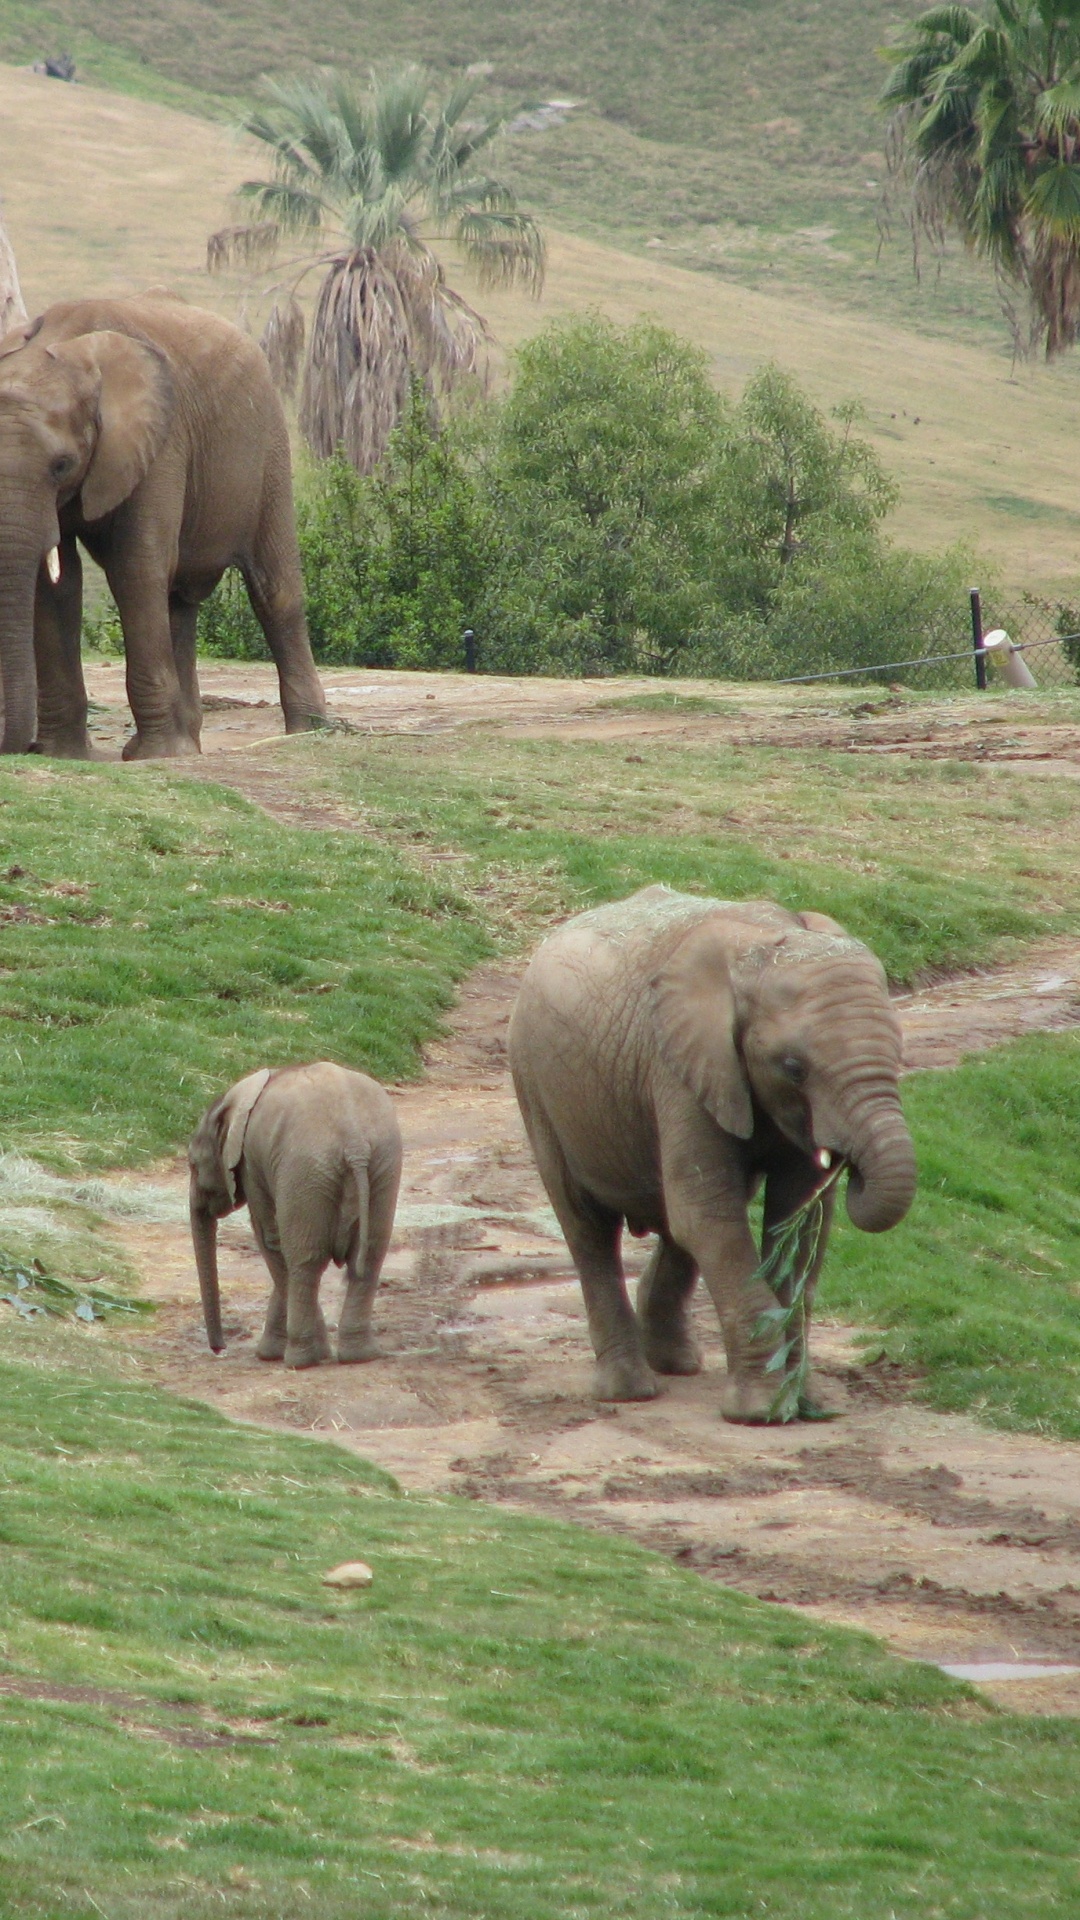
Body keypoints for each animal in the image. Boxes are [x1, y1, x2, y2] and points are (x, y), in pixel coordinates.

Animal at [0, 290, 327, 758]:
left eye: (62, 465)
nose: (24, 748)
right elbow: (56, 584)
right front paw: (65, 755)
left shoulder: (162, 441)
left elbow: (136, 567)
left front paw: (153, 757)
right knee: (178, 600)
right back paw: (189, 743)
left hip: (268, 445)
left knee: (274, 591)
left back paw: (309, 731)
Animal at [188, 1061, 403, 1369]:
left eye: (192, 1164)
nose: (219, 1348)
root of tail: (355, 1143)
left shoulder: (252, 1164)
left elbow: (270, 1240)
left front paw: (269, 1354)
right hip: (383, 1165)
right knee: (370, 1257)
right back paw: (360, 1356)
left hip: (304, 1170)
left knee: (303, 1261)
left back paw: (300, 1361)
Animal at [508, 886, 916, 1424]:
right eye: (794, 1068)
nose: (848, 1165)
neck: (762, 948)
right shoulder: (677, 1068)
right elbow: (709, 1218)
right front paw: (762, 1413)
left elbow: (797, 1225)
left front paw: (805, 1403)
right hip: (536, 1087)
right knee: (588, 1226)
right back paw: (629, 1390)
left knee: (675, 1222)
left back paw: (677, 1363)